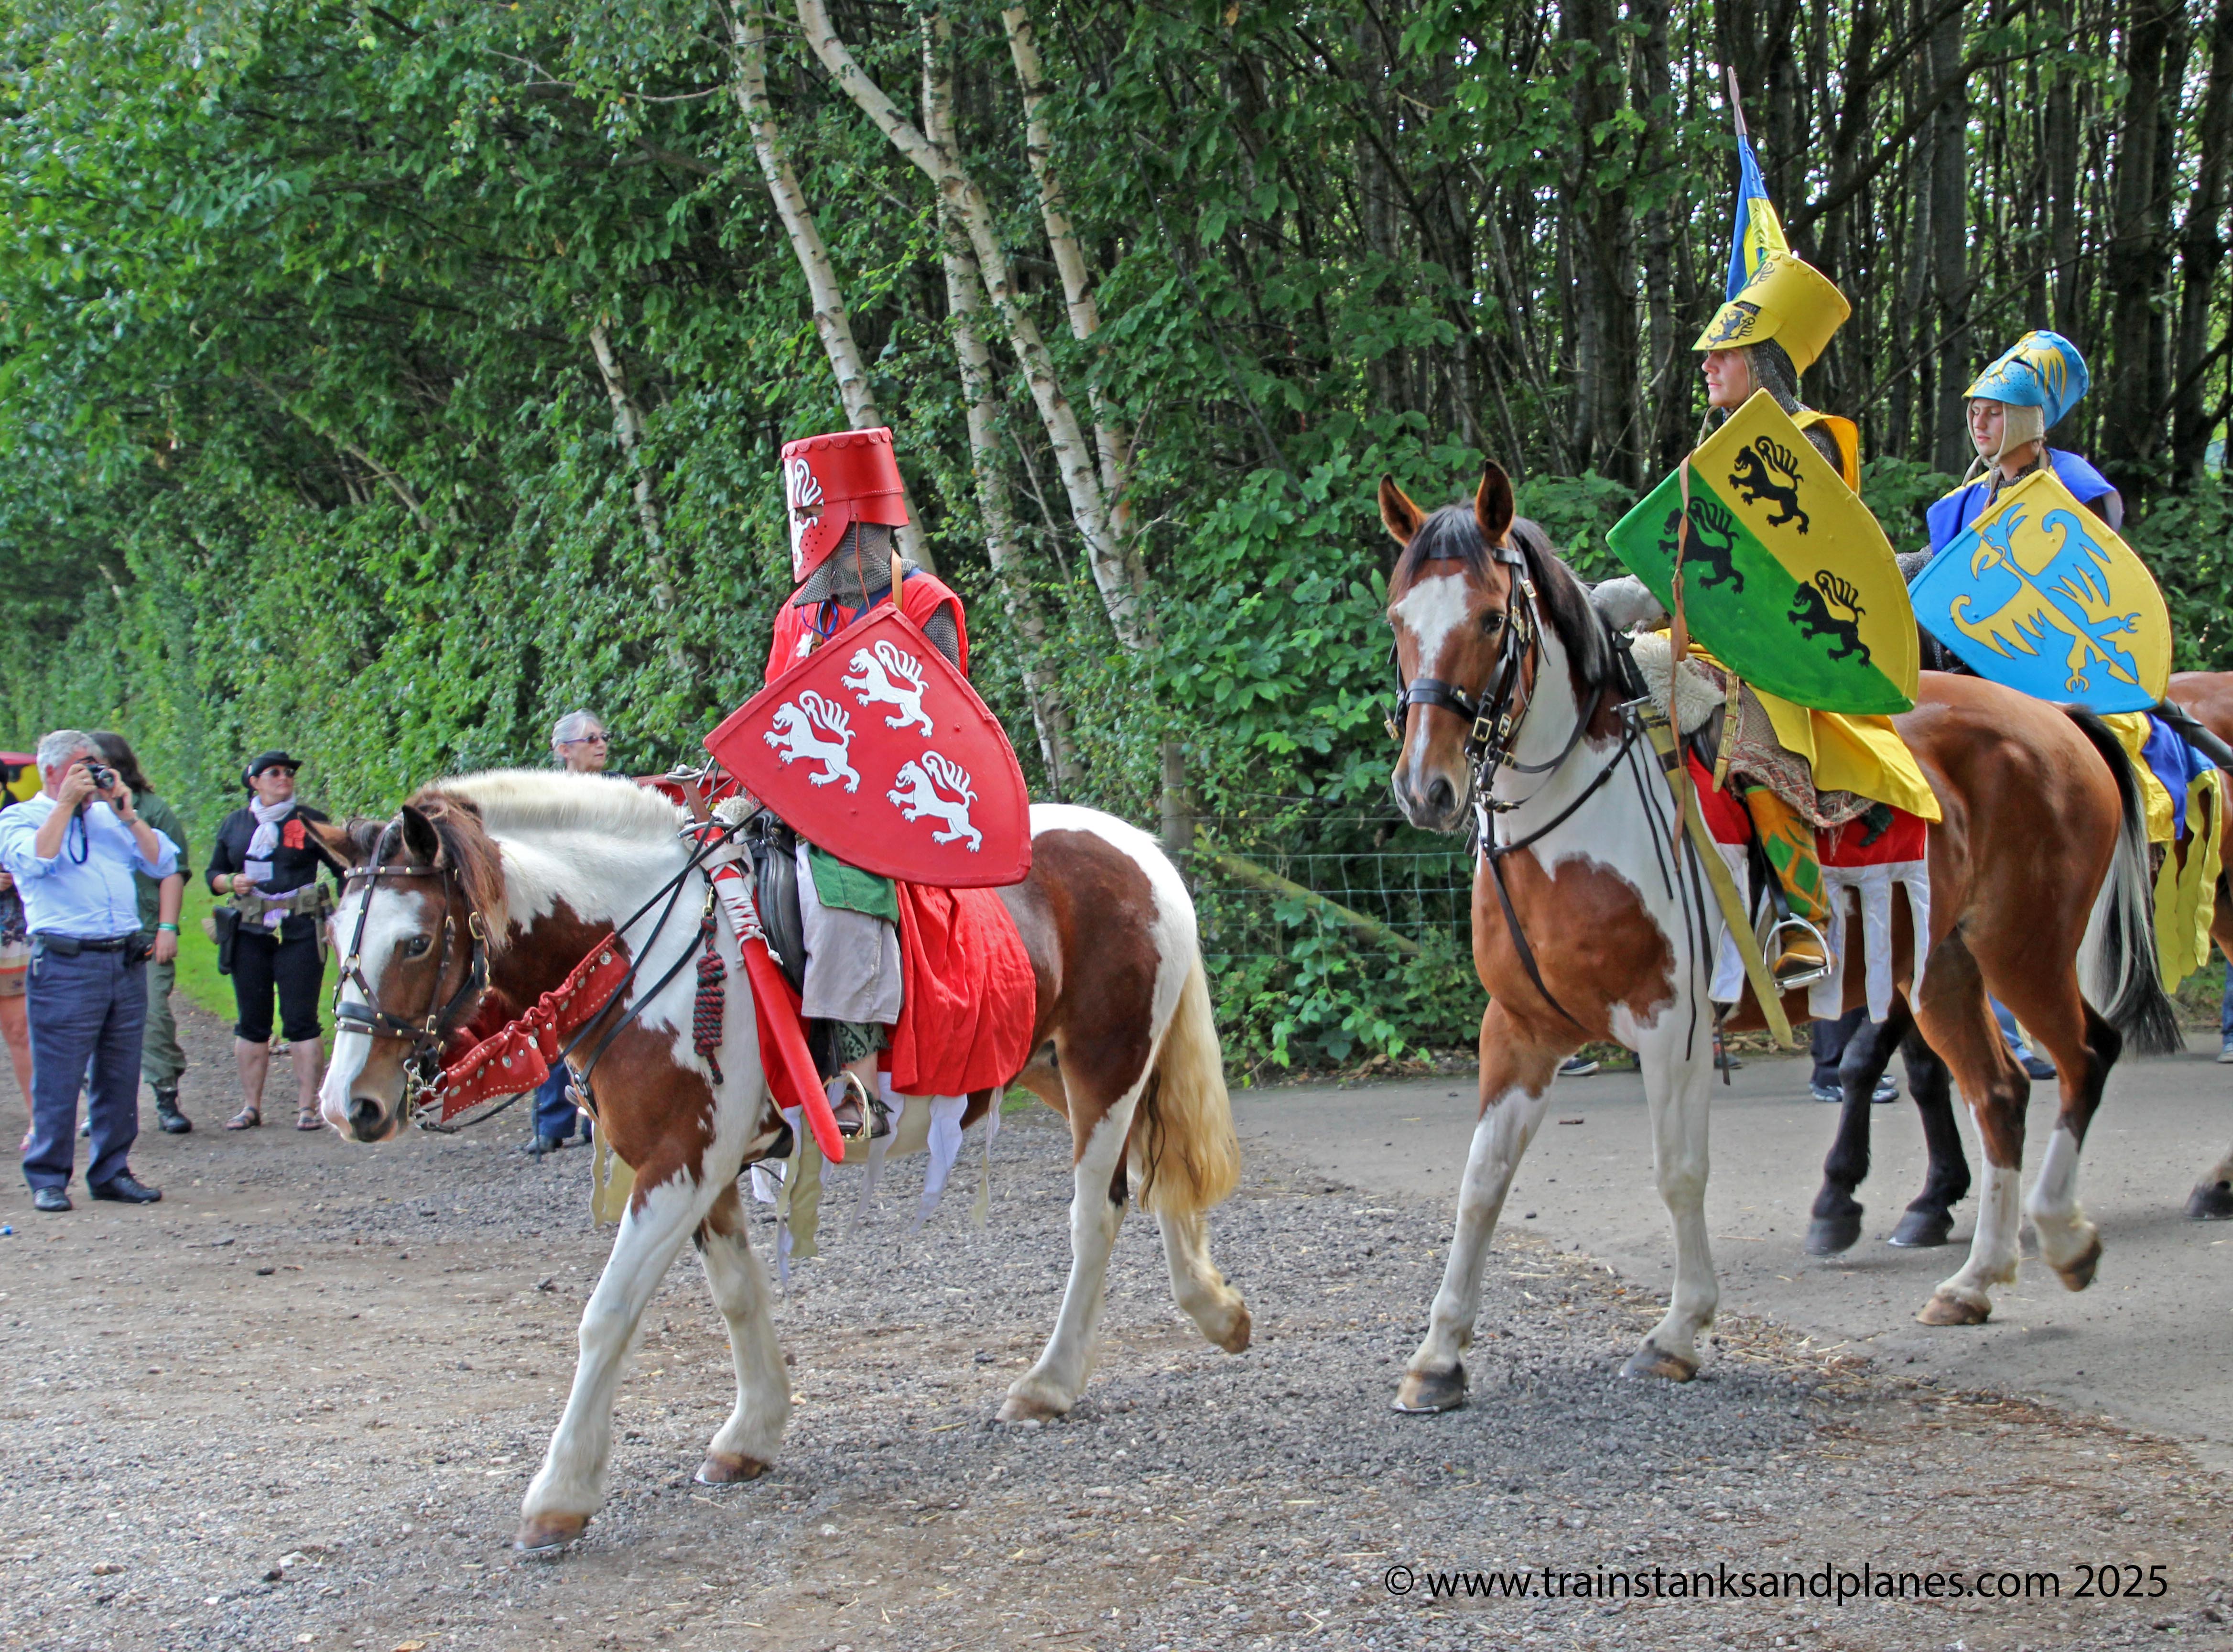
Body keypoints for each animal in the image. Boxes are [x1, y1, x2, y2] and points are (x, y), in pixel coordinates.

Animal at [311, 771, 1250, 1553]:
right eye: (333, 935)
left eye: (417, 942)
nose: (350, 1105)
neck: (646, 949)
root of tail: (1137, 850)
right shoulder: (701, 1165)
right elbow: (738, 1294)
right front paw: (752, 1433)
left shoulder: (679, 1162)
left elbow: (607, 1316)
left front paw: (562, 1493)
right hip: (1052, 1068)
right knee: (1153, 1177)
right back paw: (1214, 1310)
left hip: (1104, 1066)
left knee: (1097, 1214)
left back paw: (1051, 1382)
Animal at [1376, 462, 2173, 1410]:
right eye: (1397, 620)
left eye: (1492, 619)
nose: (1426, 788)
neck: (1574, 815)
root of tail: (2058, 720)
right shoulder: (1521, 1030)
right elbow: (1480, 1184)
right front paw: (1437, 1356)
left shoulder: (1672, 1024)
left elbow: (1678, 1171)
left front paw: (1679, 1331)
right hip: (1941, 966)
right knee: (1999, 1092)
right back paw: (1974, 1282)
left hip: (2025, 948)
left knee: (2087, 1054)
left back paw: (2062, 1237)